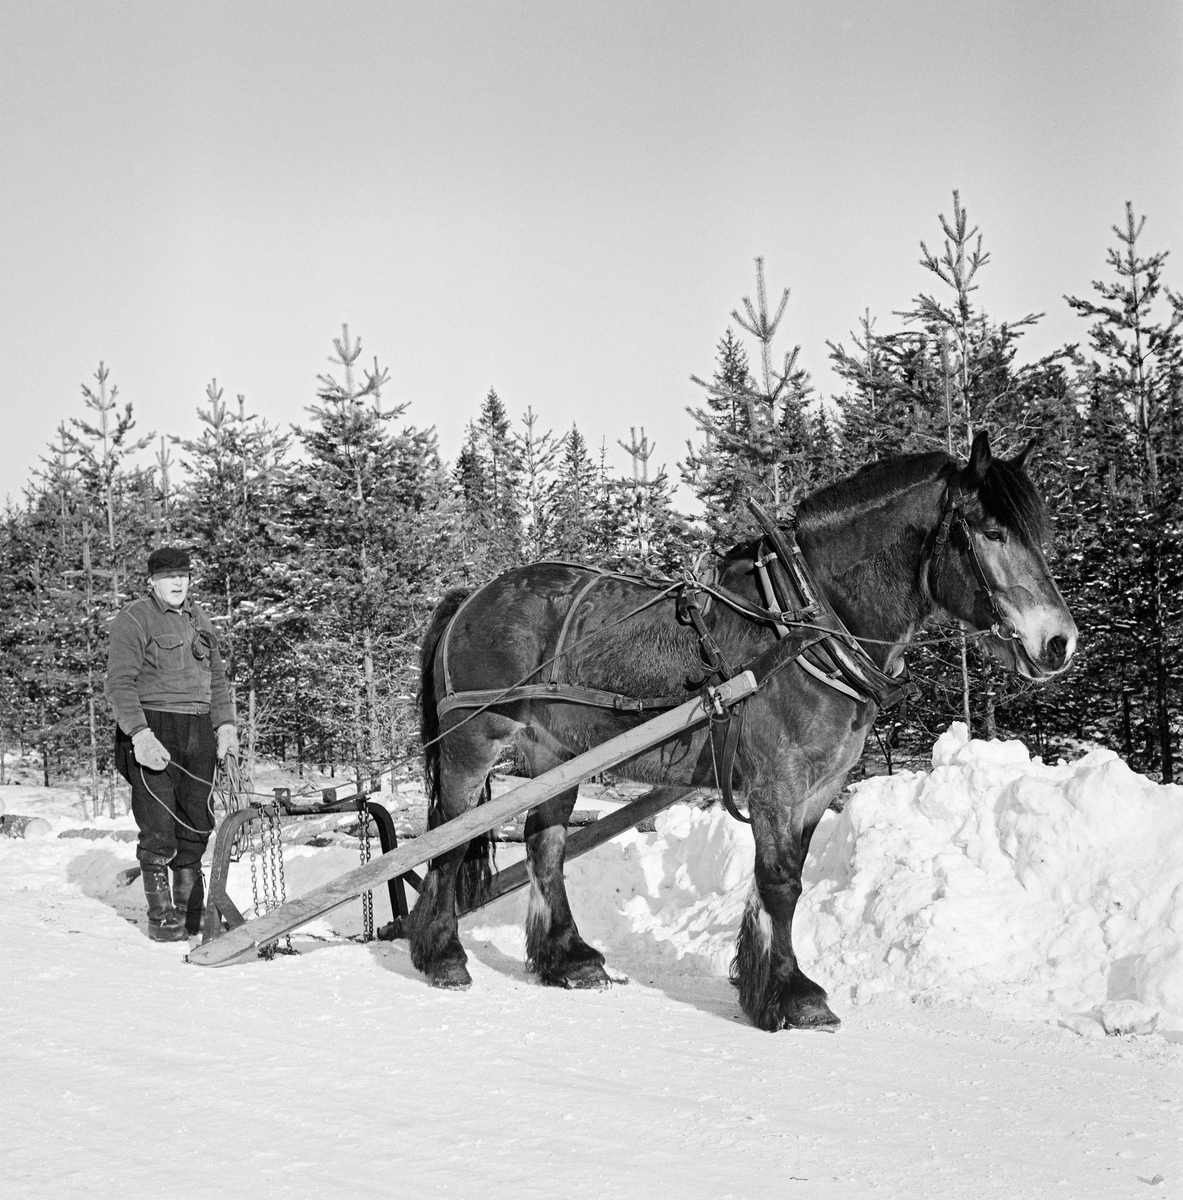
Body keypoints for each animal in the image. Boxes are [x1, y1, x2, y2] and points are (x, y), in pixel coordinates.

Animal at [407, 434, 1079, 1032]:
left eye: (1038, 536)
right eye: (991, 532)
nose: (1059, 642)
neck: (807, 623)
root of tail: (472, 596)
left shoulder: (818, 784)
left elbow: (784, 878)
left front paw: (770, 981)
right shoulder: (777, 780)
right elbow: (779, 883)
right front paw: (790, 996)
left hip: (557, 756)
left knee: (544, 844)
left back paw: (568, 960)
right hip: (472, 743)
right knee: (446, 838)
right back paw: (441, 955)